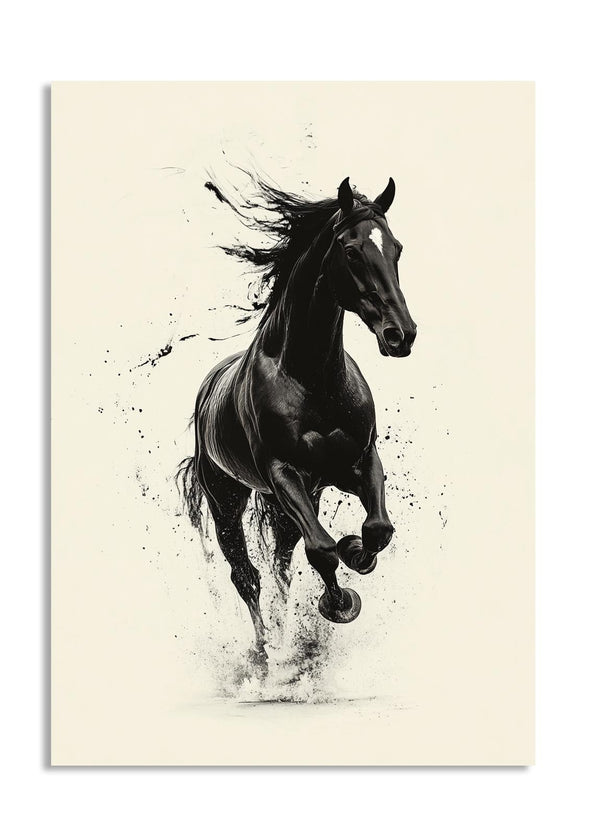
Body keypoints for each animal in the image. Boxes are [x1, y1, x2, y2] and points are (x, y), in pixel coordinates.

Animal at [178, 175, 417, 667]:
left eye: (397, 248)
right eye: (351, 251)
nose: (400, 335)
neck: (312, 380)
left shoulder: (359, 462)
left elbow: (378, 530)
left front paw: (356, 550)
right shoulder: (284, 473)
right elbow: (322, 551)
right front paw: (339, 603)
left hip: (293, 502)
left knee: (281, 569)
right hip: (228, 501)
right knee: (247, 575)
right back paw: (265, 651)